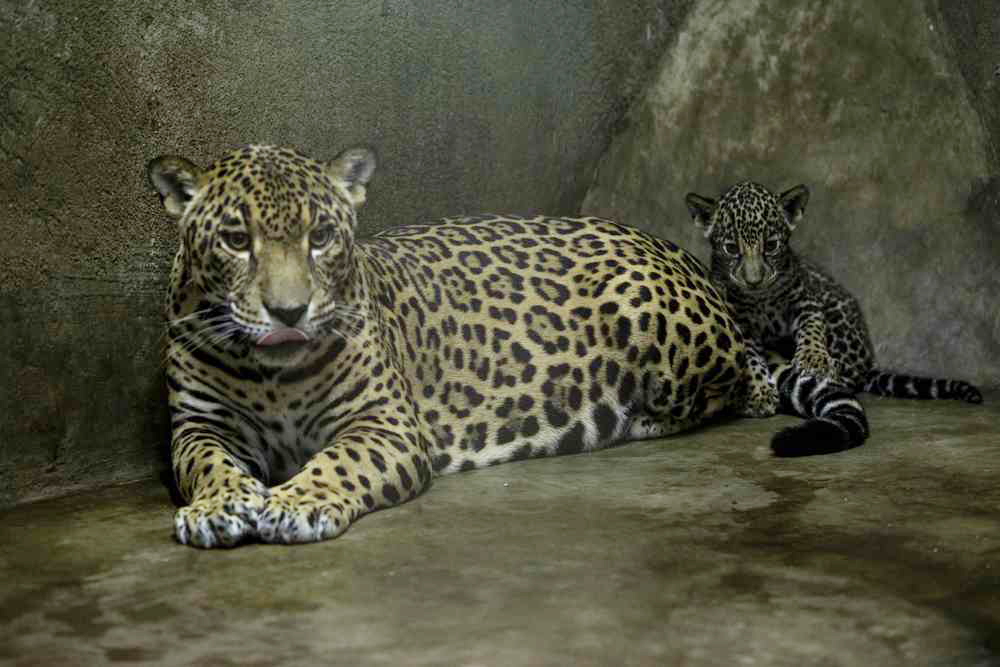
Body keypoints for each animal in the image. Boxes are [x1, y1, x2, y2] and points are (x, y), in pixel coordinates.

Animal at [145, 144, 867, 548]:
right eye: (236, 240)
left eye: (320, 236)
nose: (289, 311)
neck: (272, 373)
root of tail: (686, 257)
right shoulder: (199, 426)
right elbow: (207, 465)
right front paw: (219, 507)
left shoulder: (382, 424)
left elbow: (338, 463)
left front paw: (297, 501)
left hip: (653, 320)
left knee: (753, 387)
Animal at [685, 181, 983, 429]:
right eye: (731, 249)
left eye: (770, 245)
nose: (754, 280)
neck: (761, 300)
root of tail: (867, 364)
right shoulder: (738, 321)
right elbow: (750, 356)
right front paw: (759, 393)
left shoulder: (806, 300)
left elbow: (812, 329)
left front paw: (814, 361)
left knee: (848, 374)